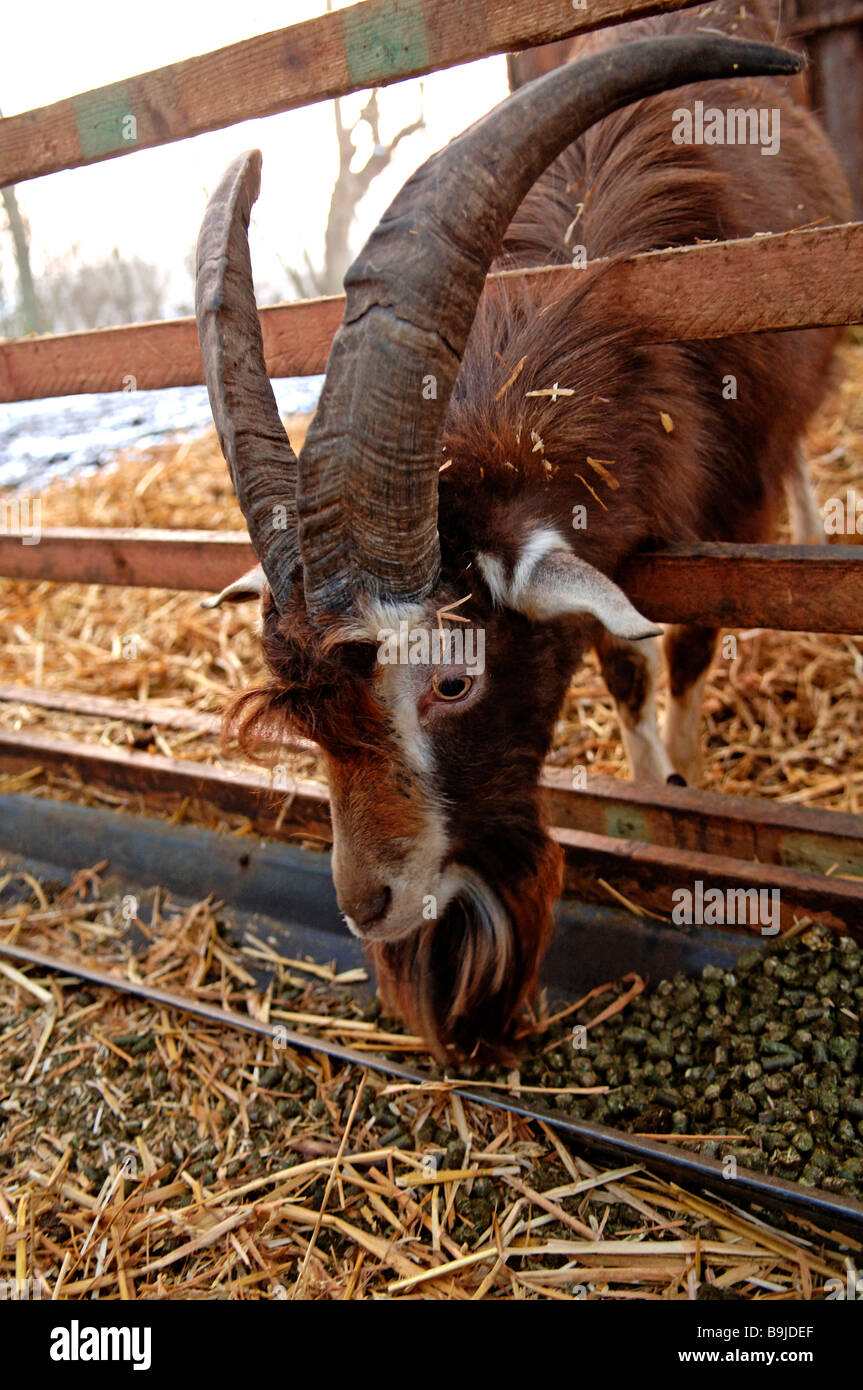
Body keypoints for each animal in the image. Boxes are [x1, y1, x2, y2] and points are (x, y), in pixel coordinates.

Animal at [194, 0, 850, 1056]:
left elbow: (689, 651)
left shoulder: (722, 505)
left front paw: (685, 787)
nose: (370, 906)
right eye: (307, 714)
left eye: (453, 682)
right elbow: (623, 666)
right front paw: (648, 775)